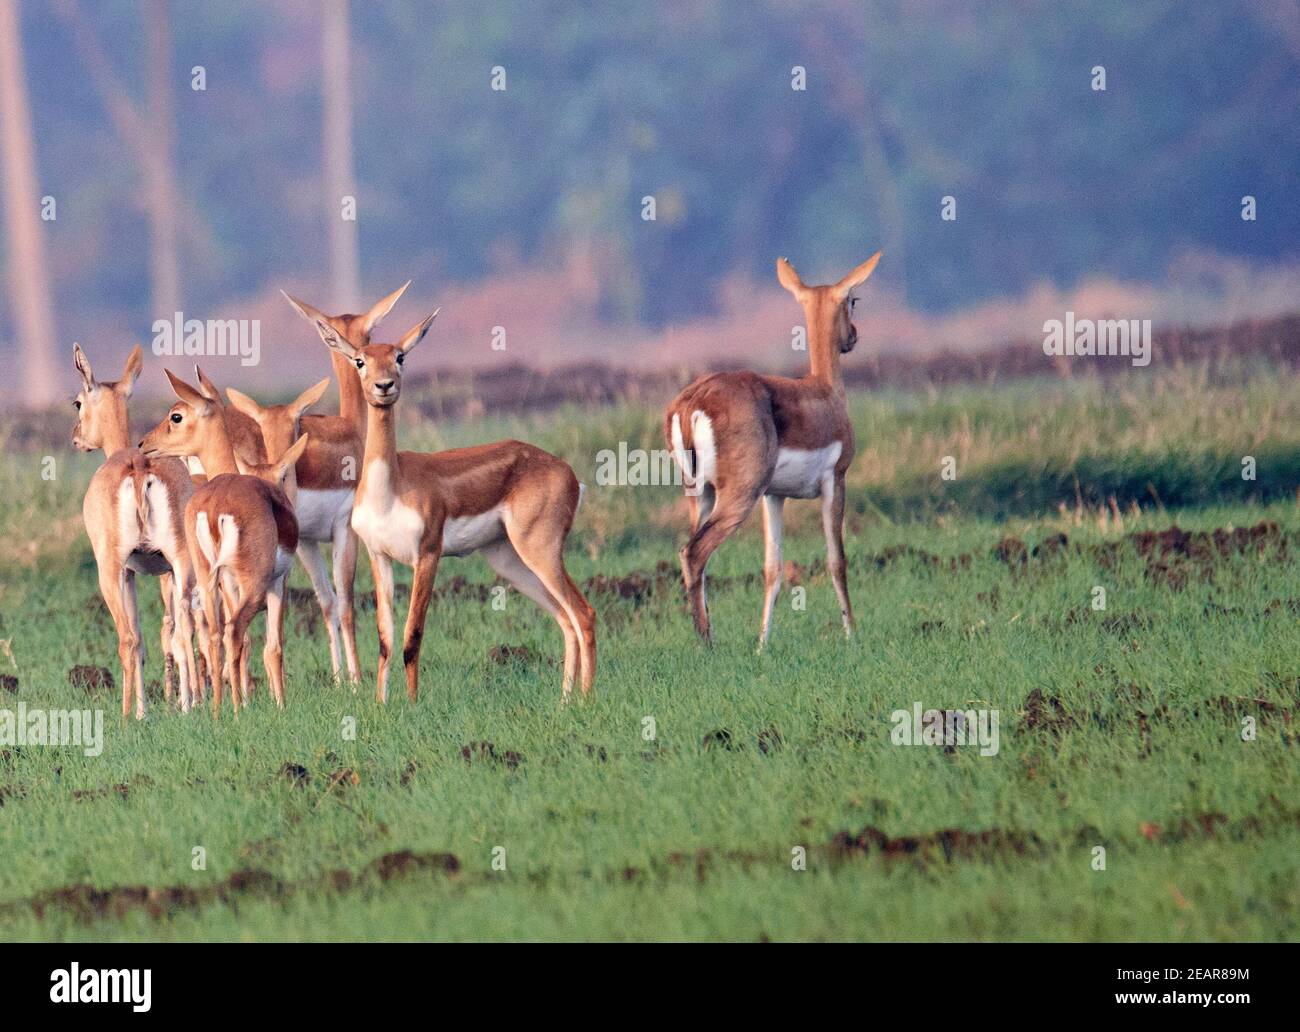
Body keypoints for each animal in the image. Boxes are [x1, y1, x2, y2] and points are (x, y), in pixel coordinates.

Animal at [72, 345, 200, 717]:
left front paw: (141, 712)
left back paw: (130, 715)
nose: (75, 438)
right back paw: (191, 706)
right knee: (184, 630)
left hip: (110, 571)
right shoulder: (166, 570)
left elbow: (138, 641)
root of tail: (140, 466)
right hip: (183, 564)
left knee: (127, 638)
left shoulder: (126, 572)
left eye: (77, 402)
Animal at [138, 369, 305, 717]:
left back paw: (218, 710)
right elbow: (273, 646)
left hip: (205, 577)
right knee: (234, 631)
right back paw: (235, 711)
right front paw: (279, 705)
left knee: (215, 636)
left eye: (176, 416)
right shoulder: (278, 582)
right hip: (252, 585)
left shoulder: (226, 583)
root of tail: (216, 507)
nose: (144, 444)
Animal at [271, 283, 413, 681]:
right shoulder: (345, 529)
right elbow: (346, 602)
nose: (383, 383)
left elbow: (326, 601)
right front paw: (354, 680)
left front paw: (336, 679)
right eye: (364, 354)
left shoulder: (306, 541)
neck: (349, 428)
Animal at [306, 309, 595, 701]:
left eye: (400, 356)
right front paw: (381, 704)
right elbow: (385, 639)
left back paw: (586, 699)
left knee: (584, 614)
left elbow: (412, 635)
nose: (384, 386)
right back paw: (565, 701)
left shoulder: (427, 555)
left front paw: (412, 704)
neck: (391, 489)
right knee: (565, 618)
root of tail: (567, 472)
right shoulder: (379, 557)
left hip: (541, 551)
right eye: (360, 360)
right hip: (509, 561)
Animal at [660, 250, 883, 644]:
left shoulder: (774, 496)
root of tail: (690, 404)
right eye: (853, 300)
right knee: (694, 552)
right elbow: (836, 559)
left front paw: (762, 643)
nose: (854, 337)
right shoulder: (835, 481)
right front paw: (852, 635)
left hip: (699, 495)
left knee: (693, 556)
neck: (824, 391)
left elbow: (772, 568)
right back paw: (707, 644)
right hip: (737, 497)